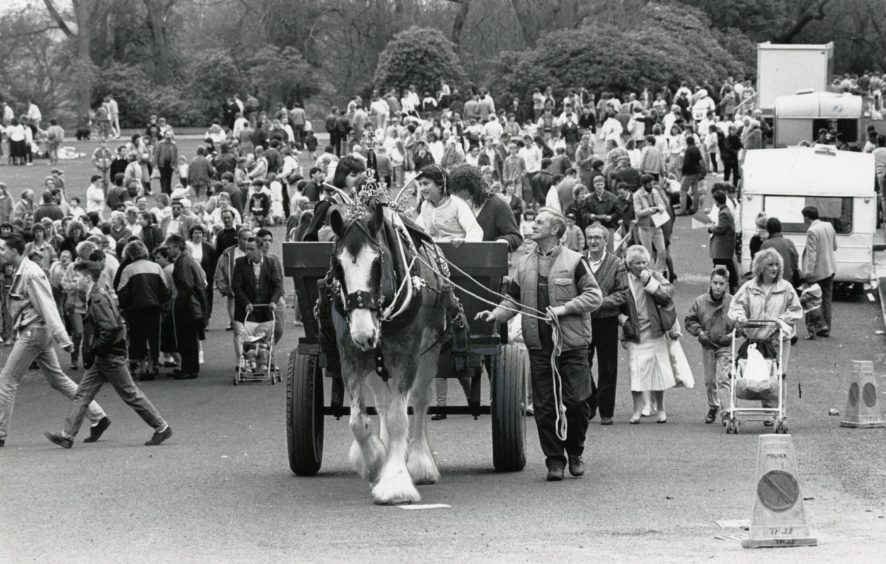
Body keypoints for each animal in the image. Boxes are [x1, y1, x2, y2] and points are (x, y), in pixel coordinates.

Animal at [326, 199, 450, 506]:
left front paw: (395, 483)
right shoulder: (351, 357)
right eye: (337, 265)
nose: (363, 332)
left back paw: (419, 463)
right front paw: (374, 462)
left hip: (429, 352)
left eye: (376, 263)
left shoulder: (408, 358)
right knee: (383, 404)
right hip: (375, 362)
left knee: (418, 401)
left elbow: (399, 419)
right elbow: (359, 421)